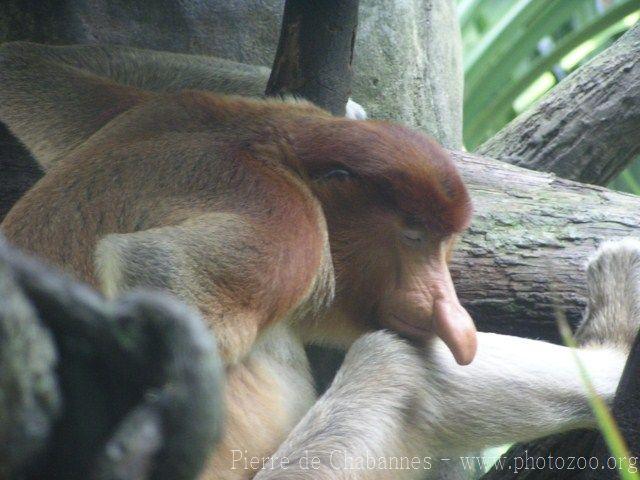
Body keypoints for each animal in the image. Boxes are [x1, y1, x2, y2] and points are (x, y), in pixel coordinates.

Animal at [0, 42, 632, 480]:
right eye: (414, 236)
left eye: (445, 242)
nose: (453, 317)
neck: (275, 153)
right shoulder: (288, 229)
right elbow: (152, 269)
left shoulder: (165, 111)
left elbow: (31, 69)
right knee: (392, 366)